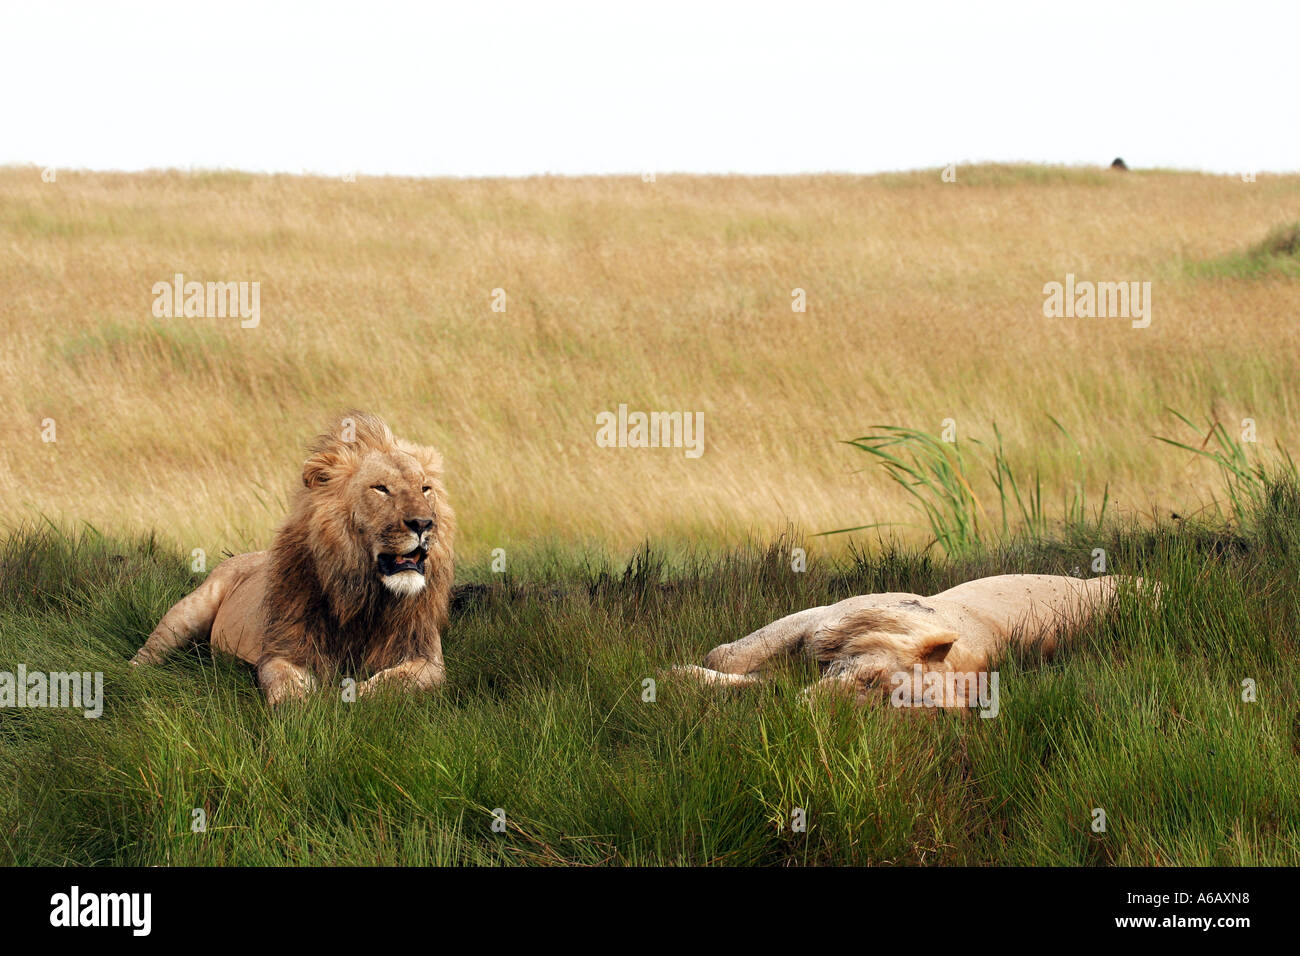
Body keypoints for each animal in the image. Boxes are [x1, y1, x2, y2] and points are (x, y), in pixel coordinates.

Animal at [131, 408, 454, 707]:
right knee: (150, 650)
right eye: (381, 488)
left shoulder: (427, 659)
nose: (424, 524)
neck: (362, 596)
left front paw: (346, 696)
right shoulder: (283, 650)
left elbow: (394, 681)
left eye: (425, 489)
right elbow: (286, 686)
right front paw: (305, 708)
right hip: (188, 612)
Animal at [676, 572, 1144, 707]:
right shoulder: (823, 621)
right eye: (870, 681)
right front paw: (682, 672)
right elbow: (729, 656)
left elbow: (749, 680)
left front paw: (681, 677)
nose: (811, 708)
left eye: (882, 706)